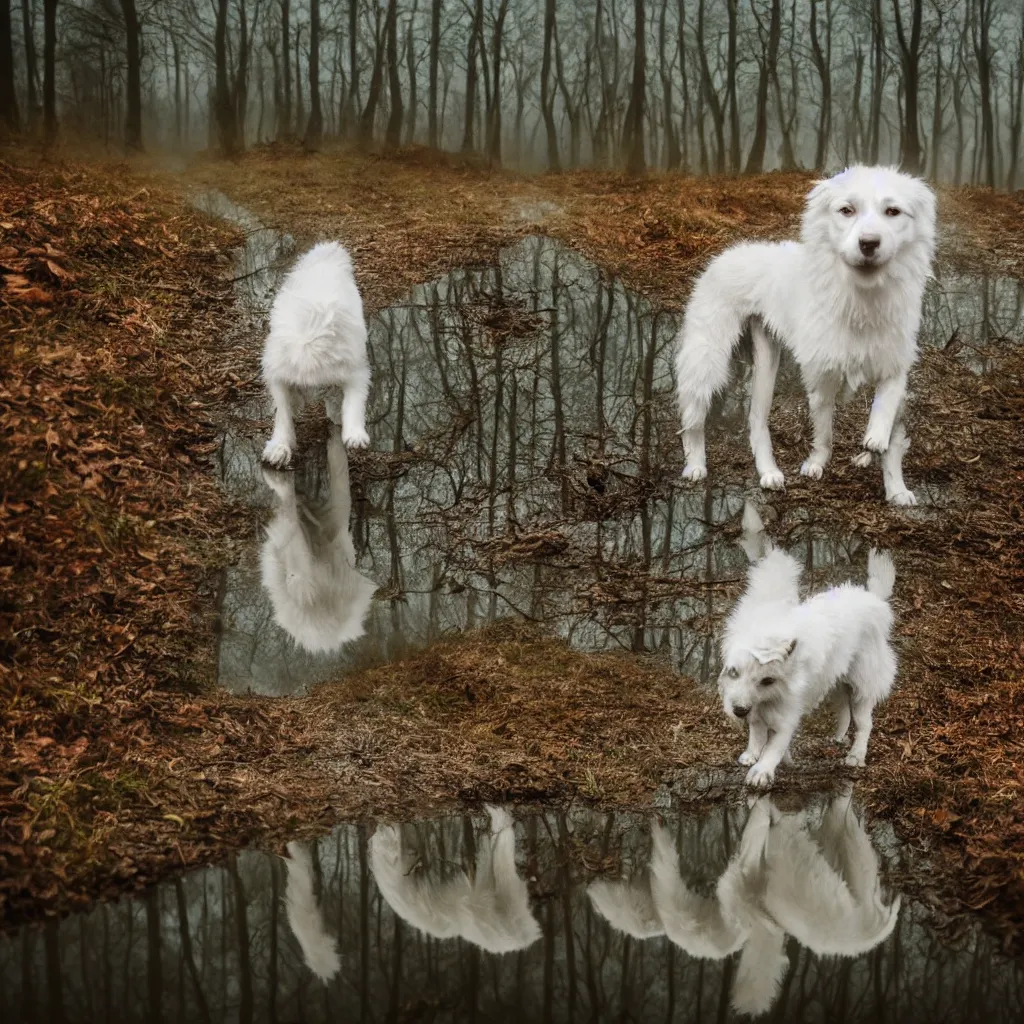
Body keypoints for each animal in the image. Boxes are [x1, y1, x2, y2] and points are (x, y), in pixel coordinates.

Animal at [260, 239, 372, 468]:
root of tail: (325, 255)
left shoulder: (356, 374)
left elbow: (353, 404)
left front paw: (354, 435)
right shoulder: (278, 376)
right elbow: (282, 414)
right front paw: (279, 447)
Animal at [671, 163, 937, 507]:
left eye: (893, 211)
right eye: (846, 210)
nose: (869, 243)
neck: (862, 298)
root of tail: (729, 253)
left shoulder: (894, 367)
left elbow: (888, 430)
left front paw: (894, 485)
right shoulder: (821, 376)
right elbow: (824, 433)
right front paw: (816, 464)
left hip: (767, 360)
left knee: (756, 421)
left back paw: (769, 473)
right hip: (707, 358)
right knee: (693, 419)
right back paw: (695, 465)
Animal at [720, 544, 897, 790]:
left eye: (768, 680)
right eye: (734, 672)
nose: (738, 711)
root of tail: (875, 599)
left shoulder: (786, 715)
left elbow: (775, 745)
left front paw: (762, 770)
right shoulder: (756, 707)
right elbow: (757, 729)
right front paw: (752, 753)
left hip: (862, 685)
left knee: (864, 724)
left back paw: (856, 755)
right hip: (838, 682)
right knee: (844, 711)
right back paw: (838, 737)